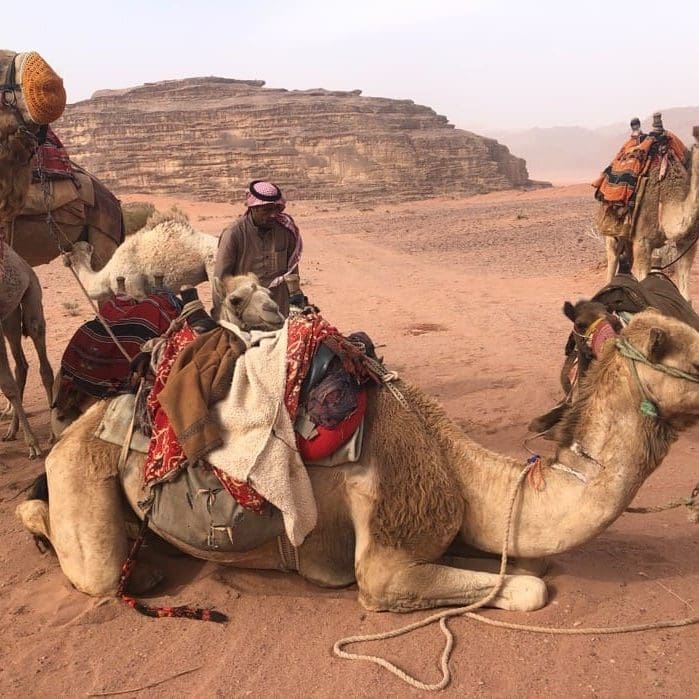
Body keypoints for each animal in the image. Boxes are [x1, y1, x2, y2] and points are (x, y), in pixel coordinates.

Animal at [15, 308, 699, 616]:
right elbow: (531, 585)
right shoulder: (388, 557)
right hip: (84, 471)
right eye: (693, 354)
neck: (455, 467)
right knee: (92, 561)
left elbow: (528, 563)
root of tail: (78, 424)